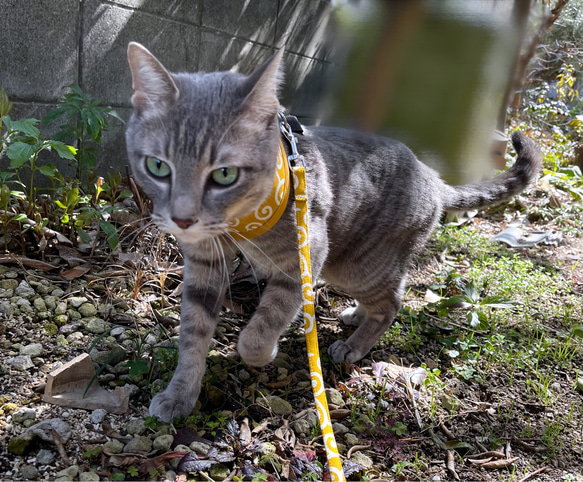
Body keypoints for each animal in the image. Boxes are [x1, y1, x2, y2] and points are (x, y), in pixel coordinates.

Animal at [125, 42, 540, 422]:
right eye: (158, 167)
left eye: (224, 174)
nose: (182, 220)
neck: (241, 223)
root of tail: (434, 177)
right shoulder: (204, 264)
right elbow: (193, 334)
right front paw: (179, 394)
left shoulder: (306, 258)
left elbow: (264, 326)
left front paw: (263, 350)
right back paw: (355, 315)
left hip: (354, 266)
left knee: (393, 303)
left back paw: (354, 345)